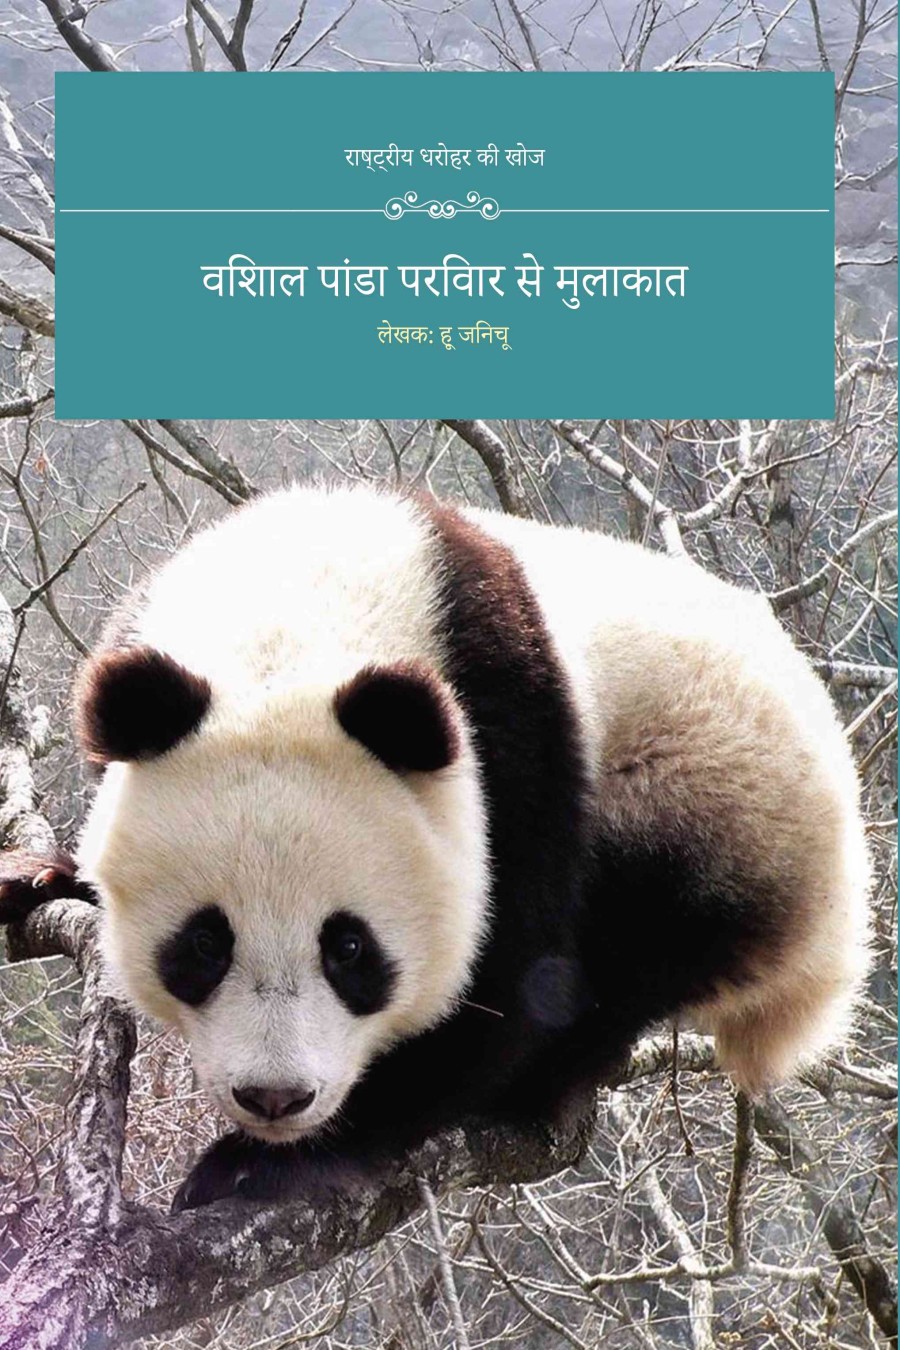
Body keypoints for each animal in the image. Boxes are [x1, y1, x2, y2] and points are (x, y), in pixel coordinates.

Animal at [0, 484, 870, 1210]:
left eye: (350, 949)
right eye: (204, 944)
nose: (276, 1099)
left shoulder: (511, 746)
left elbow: (510, 983)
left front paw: (272, 1160)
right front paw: (41, 877)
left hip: (714, 806)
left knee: (631, 959)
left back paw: (547, 1085)